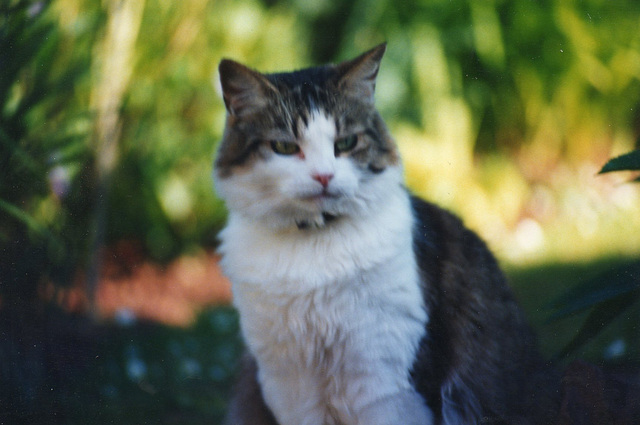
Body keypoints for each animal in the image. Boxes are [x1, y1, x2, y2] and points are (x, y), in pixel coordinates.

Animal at [212, 44, 556, 424]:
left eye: (346, 142)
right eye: (285, 148)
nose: (324, 176)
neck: (315, 245)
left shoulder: (385, 383)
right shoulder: (291, 388)